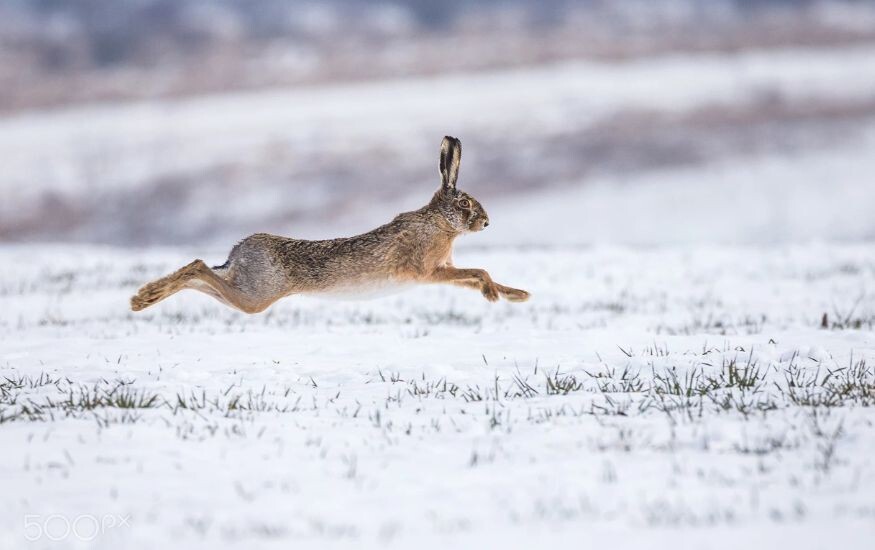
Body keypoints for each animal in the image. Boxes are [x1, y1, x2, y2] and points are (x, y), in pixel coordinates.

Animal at [130, 136, 530, 314]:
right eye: (464, 203)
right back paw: (141, 299)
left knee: (201, 275)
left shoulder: (443, 271)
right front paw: (494, 295)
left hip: (244, 287)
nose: (486, 222)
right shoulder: (427, 270)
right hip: (257, 296)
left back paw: (144, 297)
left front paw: (515, 295)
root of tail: (238, 253)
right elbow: (478, 271)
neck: (438, 223)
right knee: (198, 268)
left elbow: (474, 276)